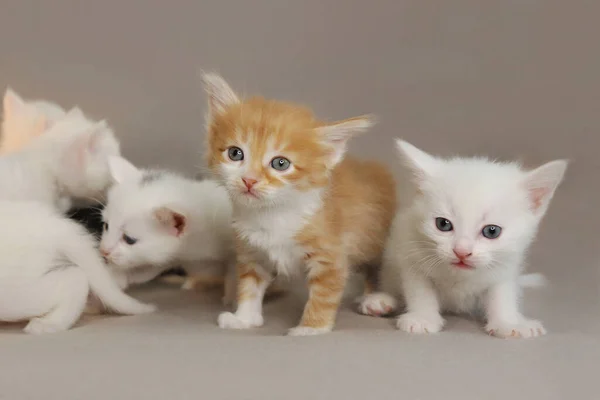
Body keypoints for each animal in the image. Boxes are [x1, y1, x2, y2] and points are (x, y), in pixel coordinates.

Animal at [204, 72, 396, 334]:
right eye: (235, 153)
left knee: (377, 269)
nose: (249, 180)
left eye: (280, 163)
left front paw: (311, 328)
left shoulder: (331, 255)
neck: (273, 214)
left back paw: (376, 299)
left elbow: (324, 294)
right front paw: (244, 318)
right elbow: (249, 286)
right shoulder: (252, 252)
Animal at [358, 139, 568, 340]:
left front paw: (508, 323)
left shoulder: (505, 266)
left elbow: (501, 293)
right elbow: (420, 288)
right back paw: (381, 300)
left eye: (492, 231)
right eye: (443, 224)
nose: (462, 251)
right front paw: (423, 318)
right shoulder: (411, 252)